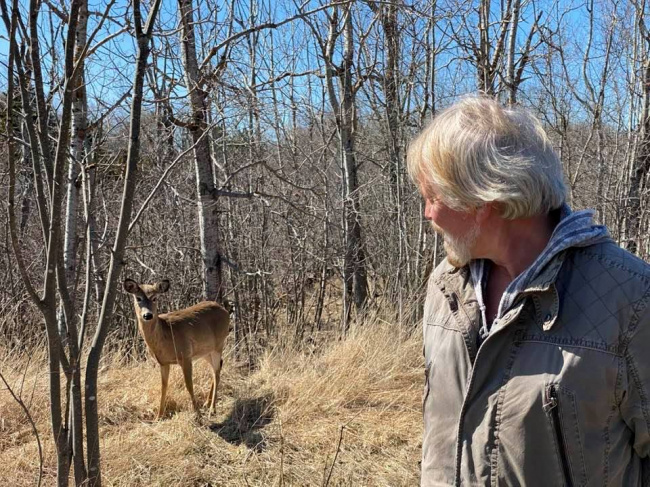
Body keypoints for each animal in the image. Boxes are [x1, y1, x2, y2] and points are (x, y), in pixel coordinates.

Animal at [123, 280, 230, 422]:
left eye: (155, 298)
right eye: (138, 298)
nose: (148, 315)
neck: (165, 336)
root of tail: (225, 310)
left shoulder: (186, 355)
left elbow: (189, 385)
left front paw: (197, 415)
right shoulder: (163, 362)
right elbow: (163, 387)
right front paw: (158, 417)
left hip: (219, 344)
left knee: (216, 372)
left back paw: (212, 409)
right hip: (205, 350)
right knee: (217, 367)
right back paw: (207, 403)